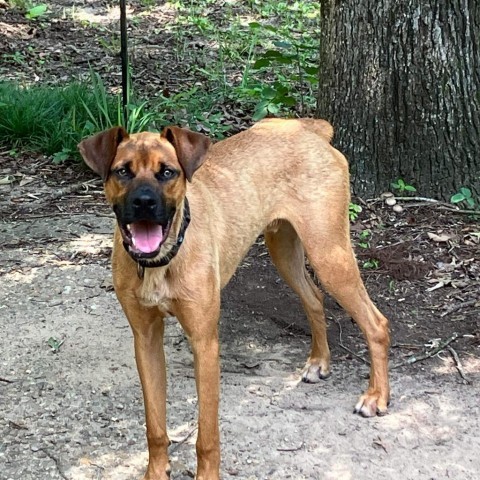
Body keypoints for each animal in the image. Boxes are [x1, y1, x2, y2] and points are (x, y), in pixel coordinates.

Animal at [79, 117, 390, 480]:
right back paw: (319, 362)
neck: (162, 261)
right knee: (314, 297)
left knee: (376, 323)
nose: (144, 202)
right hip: (284, 247)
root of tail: (307, 127)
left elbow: (207, 435)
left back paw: (376, 397)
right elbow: (154, 426)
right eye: (123, 172)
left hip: (329, 253)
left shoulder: (205, 342)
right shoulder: (145, 339)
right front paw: (156, 472)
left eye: (167, 172)